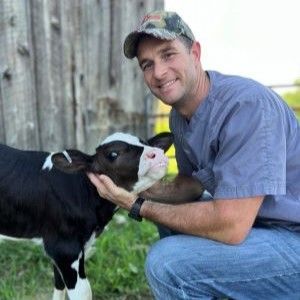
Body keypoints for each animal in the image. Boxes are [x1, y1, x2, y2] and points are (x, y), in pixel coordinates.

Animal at [0, 132, 172, 300]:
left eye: (144, 143)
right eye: (113, 154)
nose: (156, 153)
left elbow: (59, 284)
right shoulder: (64, 248)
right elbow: (84, 292)